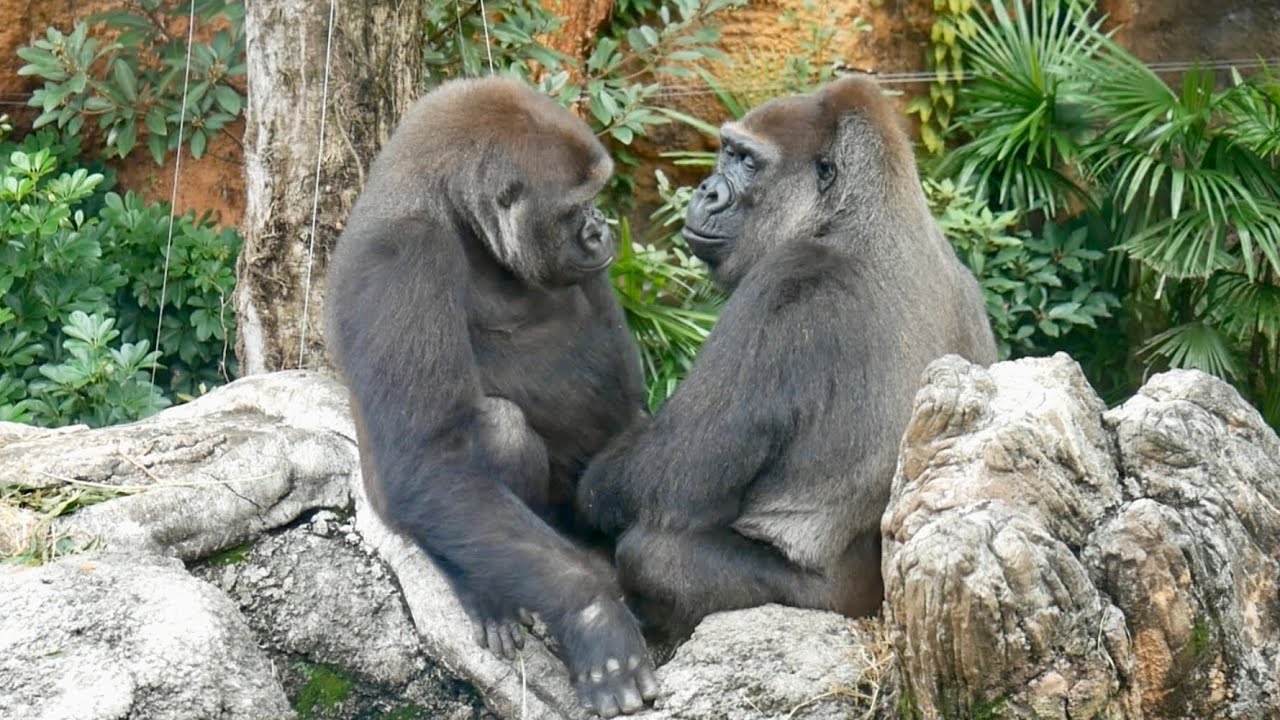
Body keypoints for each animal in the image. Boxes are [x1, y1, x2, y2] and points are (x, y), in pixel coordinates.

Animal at [324, 77, 658, 718]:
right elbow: (430, 461)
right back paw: (481, 589)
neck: (454, 212)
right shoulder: (405, 254)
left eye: (596, 200)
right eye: (575, 208)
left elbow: (628, 403)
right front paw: (591, 614)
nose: (601, 227)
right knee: (495, 434)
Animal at [575, 75, 997, 639]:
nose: (707, 191)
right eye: (727, 152)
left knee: (653, 555)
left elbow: (669, 476)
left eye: (747, 162)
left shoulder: (783, 282)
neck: (852, 215)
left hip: (826, 603)